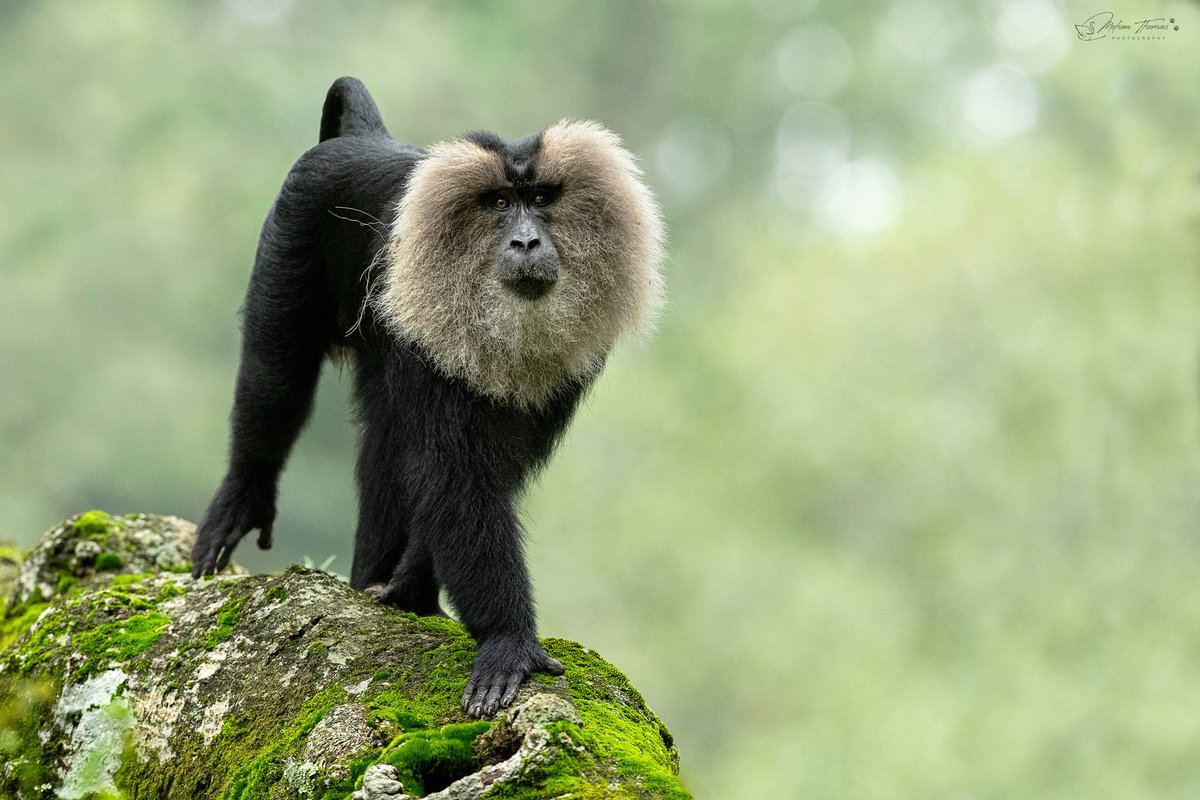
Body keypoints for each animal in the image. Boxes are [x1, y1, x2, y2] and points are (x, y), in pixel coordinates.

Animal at [190, 76, 664, 717]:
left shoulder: (571, 365)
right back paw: (246, 493)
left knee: (383, 436)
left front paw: (410, 587)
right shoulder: (430, 342)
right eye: (497, 204)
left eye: (541, 198)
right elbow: (454, 476)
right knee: (275, 379)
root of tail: (364, 139)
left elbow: (485, 476)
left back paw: (385, 585)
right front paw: (508, 640)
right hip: (290, 230)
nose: (526, 241)